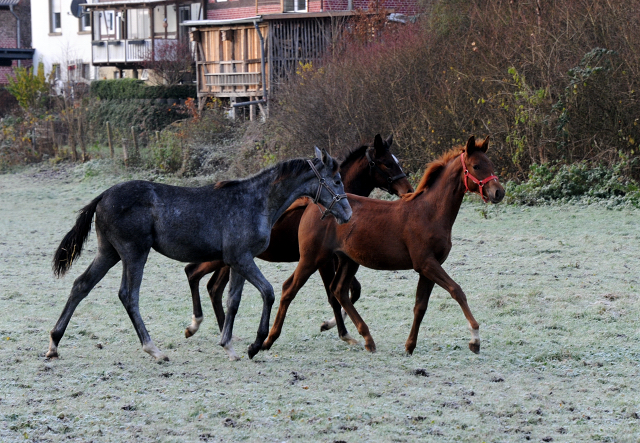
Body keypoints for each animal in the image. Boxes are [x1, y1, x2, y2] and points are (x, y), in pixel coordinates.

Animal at [48, 147, 352, 362]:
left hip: (108, 252)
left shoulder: (238, 261)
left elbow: (232, 301)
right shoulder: (241, 258)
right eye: (337, 180)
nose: (348, 214)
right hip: (134, 253)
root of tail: (103, 196)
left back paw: (54, 343)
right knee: (128, 295)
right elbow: (267, 292)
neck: (256, 202)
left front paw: (229, 346)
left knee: (81, 286)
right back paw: (154, 349)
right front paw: (255, 345)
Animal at [180, 135, 412, 344]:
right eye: (387, 163)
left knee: (212, 286)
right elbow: (334, 294)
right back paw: (198, 326)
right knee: (194, 274)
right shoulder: (324, 261)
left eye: (396, 161)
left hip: (229, 262)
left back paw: (222, 331)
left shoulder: (337, 258)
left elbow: (352, 291)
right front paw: (342, 332)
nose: (408, 191)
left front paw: (330, 324)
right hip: (224, 259)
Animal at [262, 136, 504, 358]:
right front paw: (475, 339)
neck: (429, 212)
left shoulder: (427, 268)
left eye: (490, 164)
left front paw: (409, 346)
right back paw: (267, 340)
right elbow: (457, 291)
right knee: (290, 289)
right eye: (476, 166)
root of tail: (314, 204)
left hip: (348, 261)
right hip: (313, 258)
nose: (498, 192)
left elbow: (420, 306)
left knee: (339, 291)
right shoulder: (426, 264)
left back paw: (367, 339)